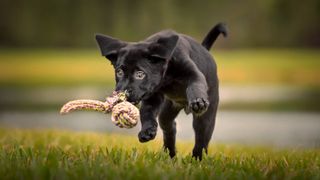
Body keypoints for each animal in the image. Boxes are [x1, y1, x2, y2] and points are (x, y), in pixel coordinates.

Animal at [95, 23, 228, 160]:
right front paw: (147, 131)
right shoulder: (152, 96)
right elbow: (146, 113)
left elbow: (195, 84)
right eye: (119, 72)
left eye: (140, 74)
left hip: (205, 119)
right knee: (170, 127)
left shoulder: (193, 74)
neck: (166, 77)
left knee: (201, 140)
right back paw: (170, 155)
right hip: (167, 110)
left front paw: (198, 101)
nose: (122, 93)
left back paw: (196, 159)